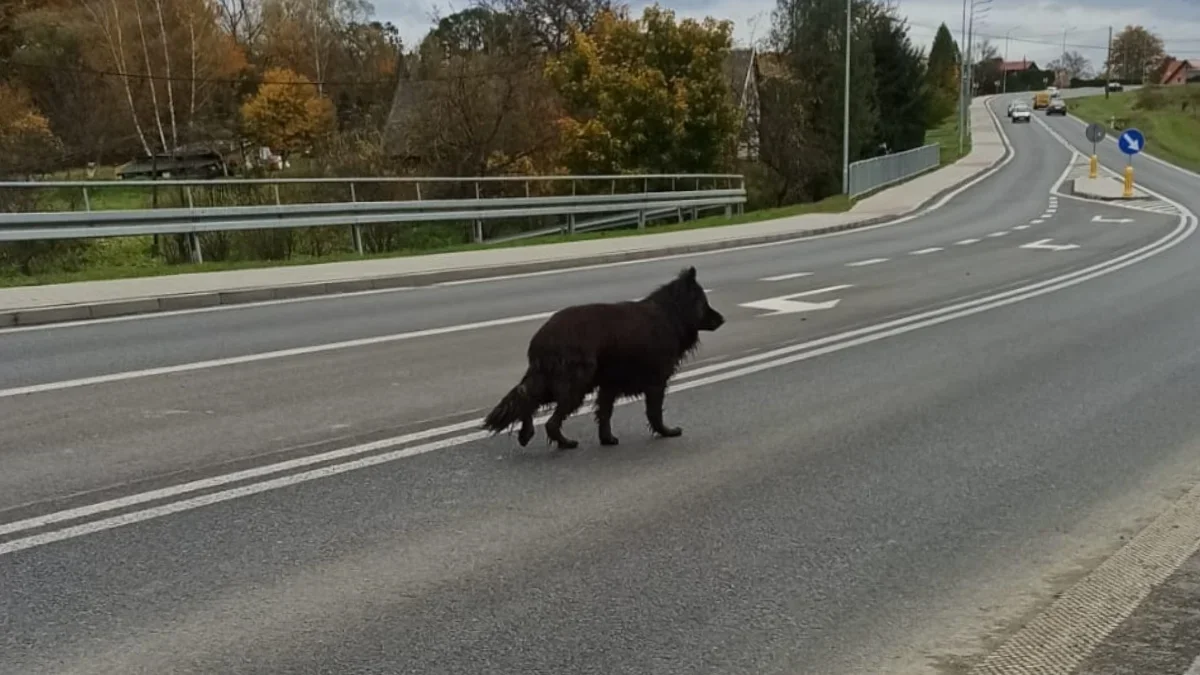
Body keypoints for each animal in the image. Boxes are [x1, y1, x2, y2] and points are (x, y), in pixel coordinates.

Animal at [482, 265, 724, 449]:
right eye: (704, 303)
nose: (722, 319)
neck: (671, 313)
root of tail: (542, 337)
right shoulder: (655, 382)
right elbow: (654, 413)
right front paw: (666, 431)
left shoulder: (609, 384)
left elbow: (605, 414)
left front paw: (607, 439)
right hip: (576, 384)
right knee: (549, 420)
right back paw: (565, 443)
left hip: (556, 382)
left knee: (526, 397)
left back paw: (526, 434)